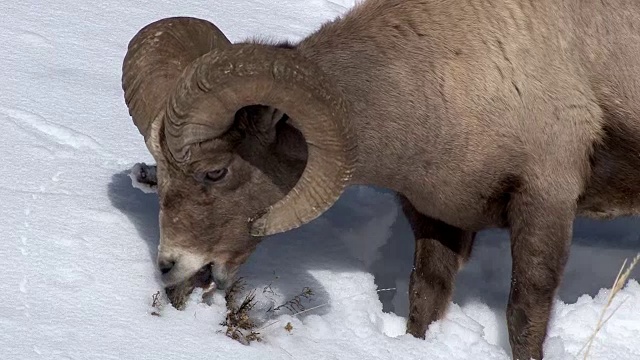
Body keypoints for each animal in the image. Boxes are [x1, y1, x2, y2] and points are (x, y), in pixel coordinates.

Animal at [122, 1, 640, 358]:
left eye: (215, 171)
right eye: (161, 174)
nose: (170, 269)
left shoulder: (544, 202)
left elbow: (524, 315)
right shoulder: (438, 219)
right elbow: (424, 301)